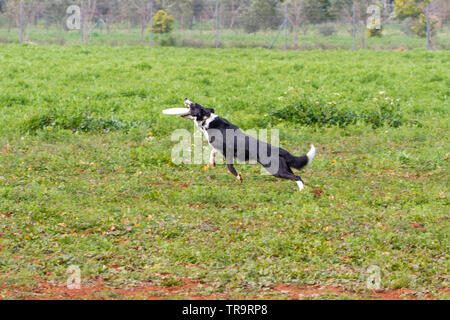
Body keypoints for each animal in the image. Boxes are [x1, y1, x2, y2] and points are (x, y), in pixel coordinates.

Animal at [181, 97, 314, 190]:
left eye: (193, 105)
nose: (186, 98)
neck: (207, 120)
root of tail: (280, 150)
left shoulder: (226, 150)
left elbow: (230, 168)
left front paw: (239, 177)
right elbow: (213, 152)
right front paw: (212, 162)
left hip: (276, 170)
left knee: (297, 177)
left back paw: (302, 190)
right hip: (284, 169)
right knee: (297, 176)